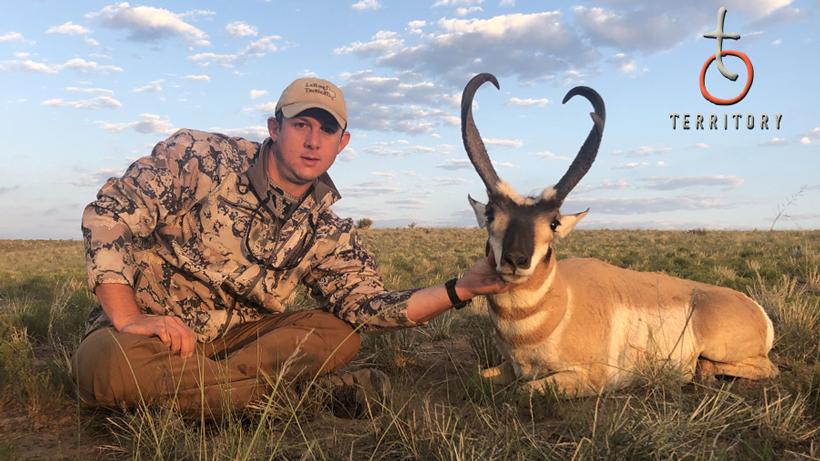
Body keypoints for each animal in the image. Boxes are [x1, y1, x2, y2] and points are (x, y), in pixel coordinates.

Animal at [462, 73, 778, 396]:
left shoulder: (587, 377)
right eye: (490, 214)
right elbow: (477, 375)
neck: (562, 300)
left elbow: (521, 389)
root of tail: (754, 307)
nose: (516, 260)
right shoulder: (508, 368)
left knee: (765, 368)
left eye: (553, 223)